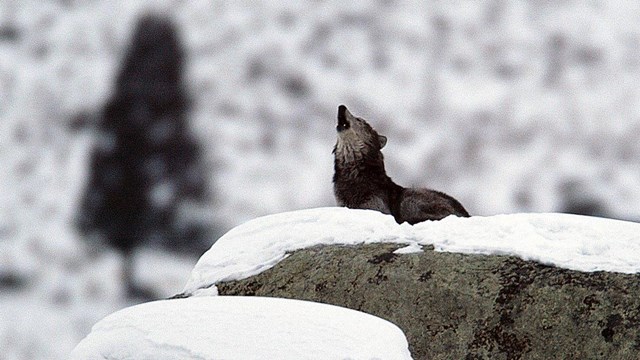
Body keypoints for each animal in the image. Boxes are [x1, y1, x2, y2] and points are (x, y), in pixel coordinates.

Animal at [332, 104, 468, 224]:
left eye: (360, 120)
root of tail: (466, 214)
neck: (354, 174)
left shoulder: (376, 208)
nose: (341, 106)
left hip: (409, 199)